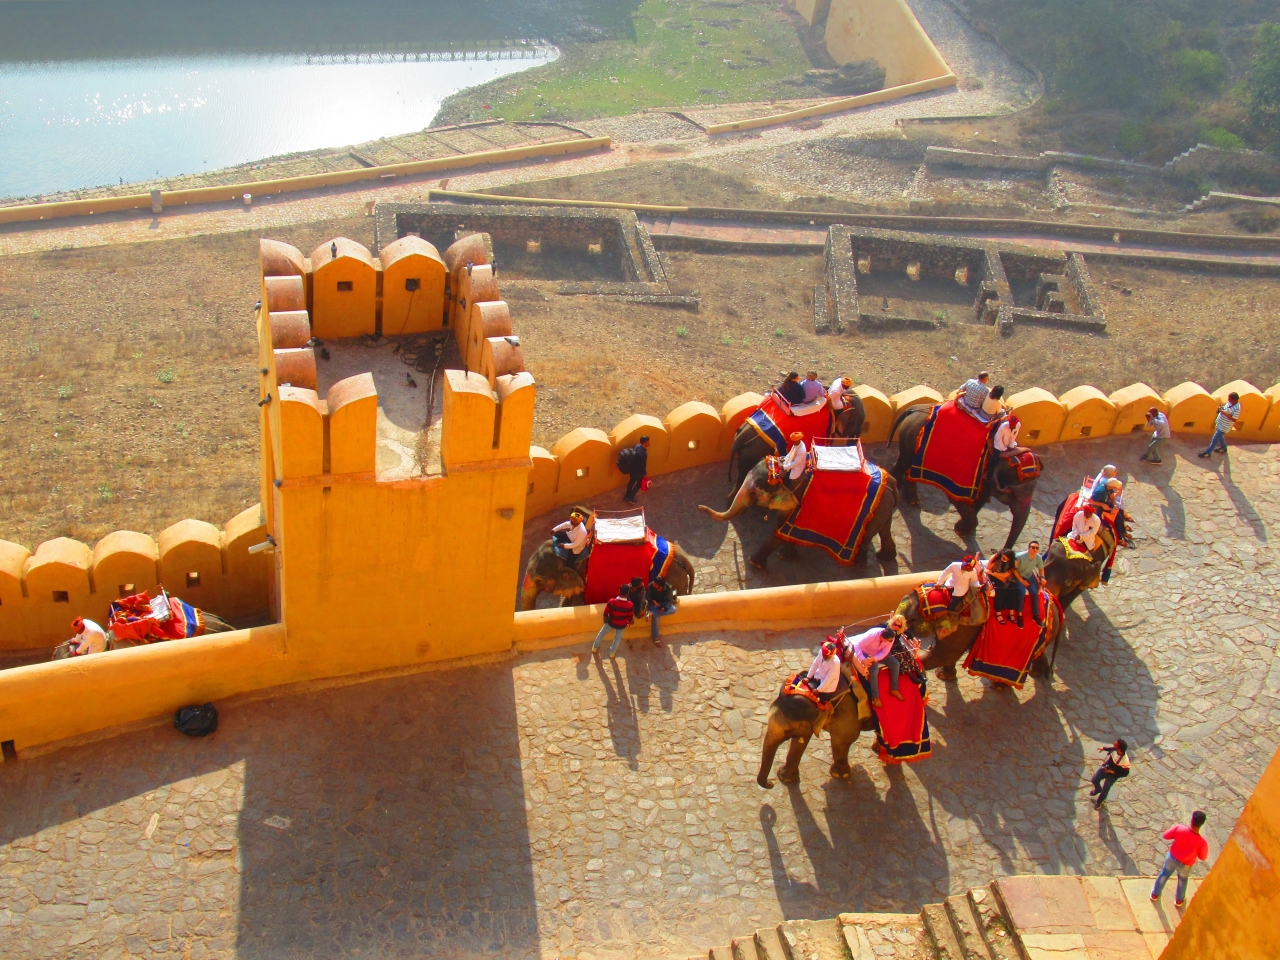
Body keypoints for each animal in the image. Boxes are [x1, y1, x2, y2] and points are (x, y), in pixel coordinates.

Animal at [697, 458, 898, 570]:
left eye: (754, 493)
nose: (699, 507)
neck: (784, 469)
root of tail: (892, 483)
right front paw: (786, 557)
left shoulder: (799, 497)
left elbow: (780, 531)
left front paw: (755, 564)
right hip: (884, 509)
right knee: (884, 530)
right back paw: (885, 557)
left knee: (866, 538)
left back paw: (858, 565)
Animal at [889, 406, 1041, 552]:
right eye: (1012, 493)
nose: (999, 552)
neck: (1003, 454)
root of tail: (915, 408)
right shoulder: (964, 476)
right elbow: (958, 500)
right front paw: (960, 530)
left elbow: (981, 498)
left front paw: (964, 530)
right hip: (910, 438)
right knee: (904, 462)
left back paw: (913, 500)